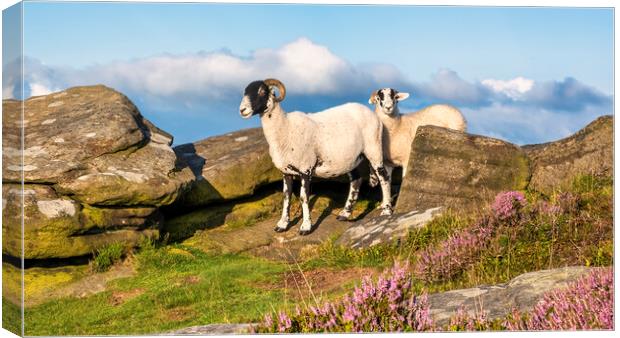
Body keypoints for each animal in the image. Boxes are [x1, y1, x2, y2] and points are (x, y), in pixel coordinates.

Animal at [239, 78, 392, 235]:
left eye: (262, 91)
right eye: (245, 92)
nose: (242, 110)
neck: (286, 128)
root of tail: (371, 113)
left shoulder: (306, 169)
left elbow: (303, 197)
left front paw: (306, 227)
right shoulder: (286, 171)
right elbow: (286, 197)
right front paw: (282, 225)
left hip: (374, 149)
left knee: (384, 177)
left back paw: (386, 211)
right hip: (350, 159)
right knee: (356, 180)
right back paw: (345, 214)